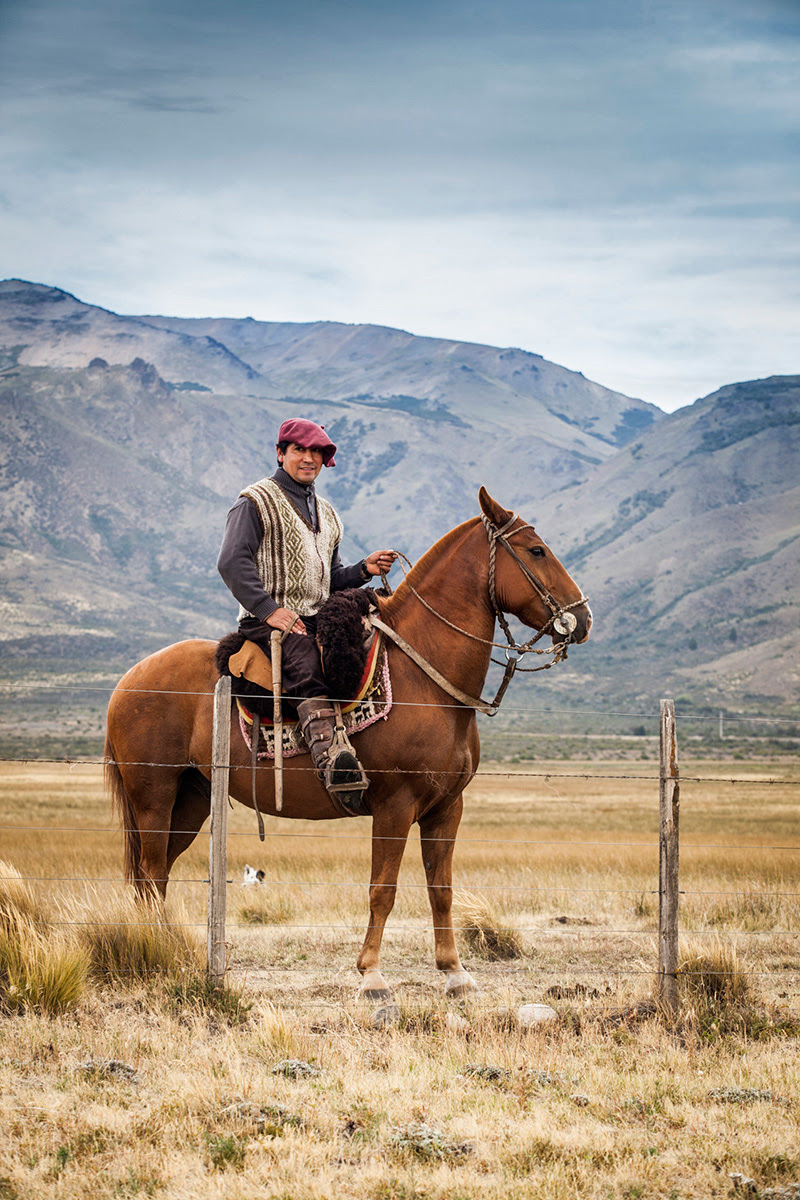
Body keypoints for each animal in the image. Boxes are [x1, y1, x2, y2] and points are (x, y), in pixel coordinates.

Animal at [106, 484, 592, 993]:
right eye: (536, 551)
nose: (583, 618)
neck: (427, 680)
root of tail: (128, 679)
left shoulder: (446, 807)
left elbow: (441, 888)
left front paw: (455, 971)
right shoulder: (395, 805)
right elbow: (383, 890)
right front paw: (371, 973)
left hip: (191, 800)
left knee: (155, 878)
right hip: (154, 797)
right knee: (150, 873)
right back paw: (160, 951)